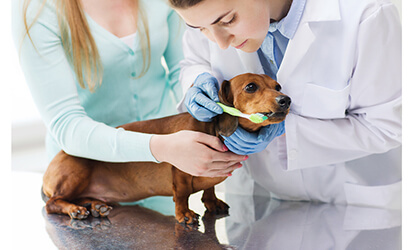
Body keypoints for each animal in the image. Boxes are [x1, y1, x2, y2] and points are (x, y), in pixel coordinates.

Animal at [41, 73, 290, 224]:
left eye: (277, 86)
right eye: (251, 87)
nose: (286, 100)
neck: (211, 128)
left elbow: (209, 189)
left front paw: (212, 202)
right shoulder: (180, 171)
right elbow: (181, 194)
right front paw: (184, 214)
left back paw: (96, 206)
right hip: (76, 172)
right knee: (52, 203)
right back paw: (75, 210)